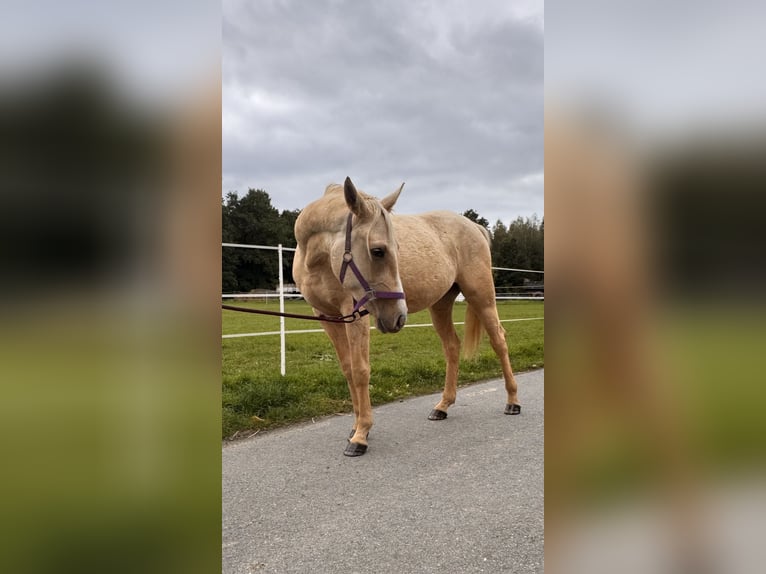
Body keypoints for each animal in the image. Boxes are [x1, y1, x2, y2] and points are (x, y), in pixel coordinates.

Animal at [292, 177, 521, 456]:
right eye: (378, 250)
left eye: (395, 248)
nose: (399, 317)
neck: (318, 259)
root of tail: (474, 227)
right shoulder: (327, 316)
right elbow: (347, 369)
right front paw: (355, 426)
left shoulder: (354, 313)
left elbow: (360, 370)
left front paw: (361, 434)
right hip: (440, 305)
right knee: (452, 347)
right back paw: (442, 406)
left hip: (481, 296)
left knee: (499, 341)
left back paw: (513, 402)